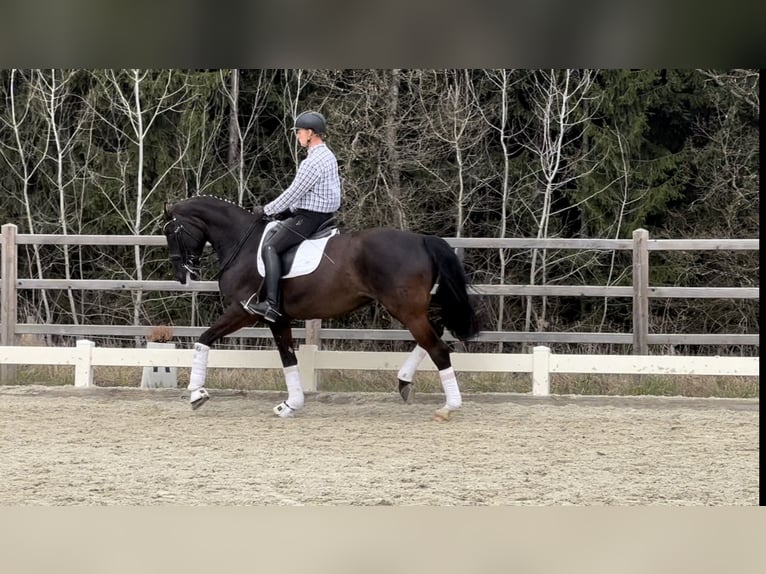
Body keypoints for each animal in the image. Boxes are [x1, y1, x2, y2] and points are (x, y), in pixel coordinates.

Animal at [164, 196, 480, 420]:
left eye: (171, 231)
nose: (182, 275)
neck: (243, 243)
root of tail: (422, 239)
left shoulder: (244, 311)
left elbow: (204, 338)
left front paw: (196, 393)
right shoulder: (278, 318)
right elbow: (288, 359)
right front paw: (290, 405)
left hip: (406, 309)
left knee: (438, 348)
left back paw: (448, 407)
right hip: (417, 307)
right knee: (435, 331)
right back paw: (404, 381)